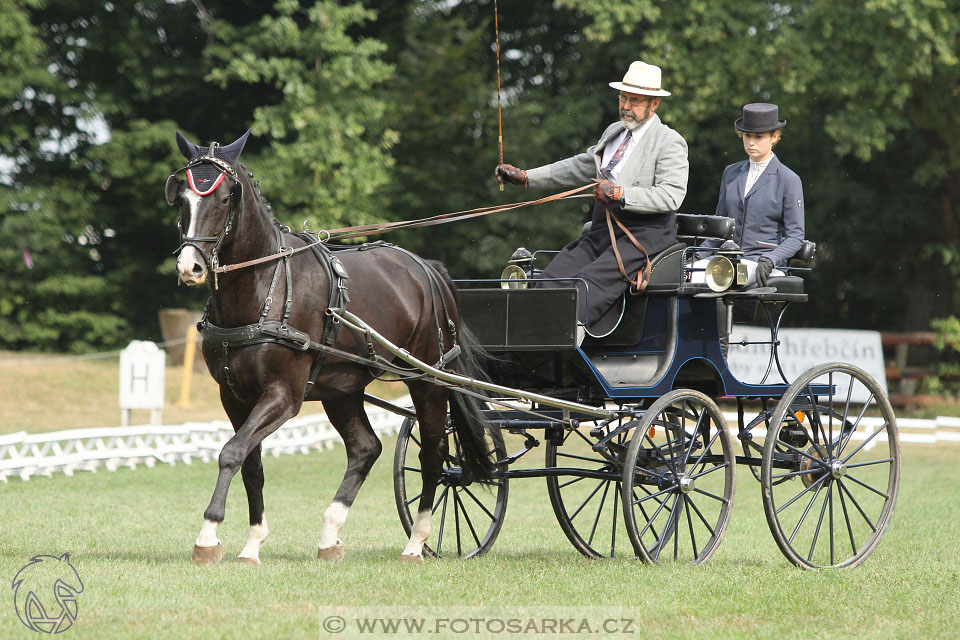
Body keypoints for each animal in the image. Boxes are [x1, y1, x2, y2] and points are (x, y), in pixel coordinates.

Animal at [164, 130, 492, 564]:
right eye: (182, 197)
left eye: (221, 199)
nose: (191, 267)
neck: (263, 287)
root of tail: (426, 268)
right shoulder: (233, 396)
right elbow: (250, 463)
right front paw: (252, 543)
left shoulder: (283, 396)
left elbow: (231, 453)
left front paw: (208, 535)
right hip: (342, 389)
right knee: (365, 447)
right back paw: (330, 533)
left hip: (427, 381)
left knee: (433, 454)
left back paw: (416, 542)